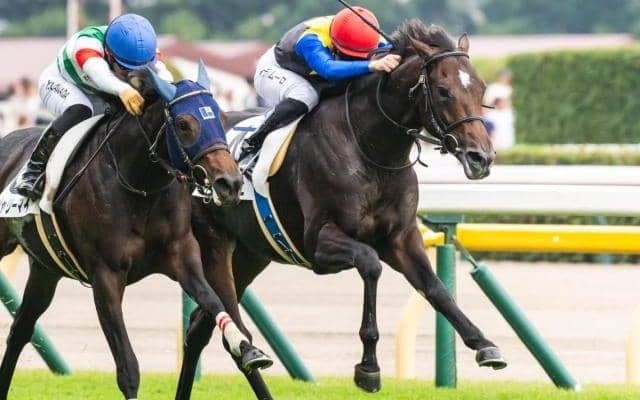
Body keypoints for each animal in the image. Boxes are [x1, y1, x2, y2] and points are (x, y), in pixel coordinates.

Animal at [0, 64, 272, 400]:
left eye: (220, 119)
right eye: (183, 124)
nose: (231, 183)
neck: (140, 184)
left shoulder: (182, 256)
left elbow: (213, 302)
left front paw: (246, 348)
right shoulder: (106, 274)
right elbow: (128, 367)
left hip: (45, 269)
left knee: (20, 330)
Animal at [176, 21, 506, 400]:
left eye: (480, 87)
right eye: (443, 90)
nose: (481, 157)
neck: (369, 148)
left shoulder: (401, 238)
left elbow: (436, 289)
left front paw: (484, 344)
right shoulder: (320, 243)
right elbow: (370, 264)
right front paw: (369, 368)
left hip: (249, 254)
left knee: (203, 328)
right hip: (213, 245)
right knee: (227, 328)